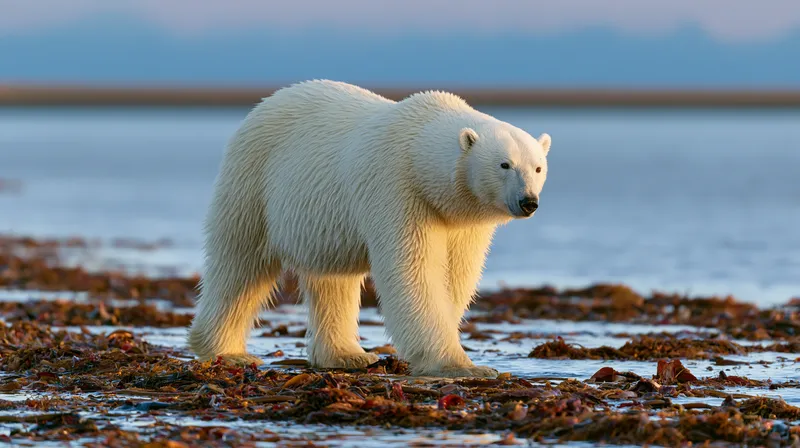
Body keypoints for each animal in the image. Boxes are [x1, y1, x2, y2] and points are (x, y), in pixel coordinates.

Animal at [187, 80, 552, 378]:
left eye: (537, 167)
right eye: (504, 164)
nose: (528, 202)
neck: (419, 156)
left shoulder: (462, 219)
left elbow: (455, 275)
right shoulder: (397, 190)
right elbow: (414, 271)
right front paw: (461, 366)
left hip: (321, 217)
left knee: (331, 280)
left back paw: (347, 355)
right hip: (254, 181)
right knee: (239, 264)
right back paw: (226, 352)